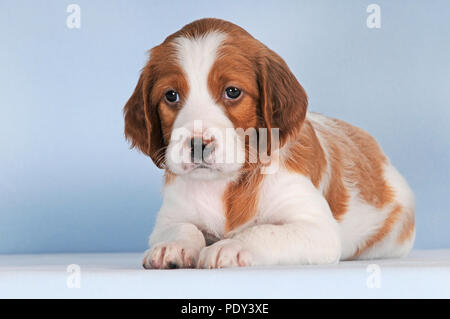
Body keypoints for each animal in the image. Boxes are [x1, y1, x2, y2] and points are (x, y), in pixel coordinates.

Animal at [123, 18, 414, 268]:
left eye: (232, 92)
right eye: (171, 95)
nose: (197, 144)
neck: (224, 185)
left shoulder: (317, 228)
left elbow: (263, 231)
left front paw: (230, 247)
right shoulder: (169, 217)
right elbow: (182, 226)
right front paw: (171, 247)